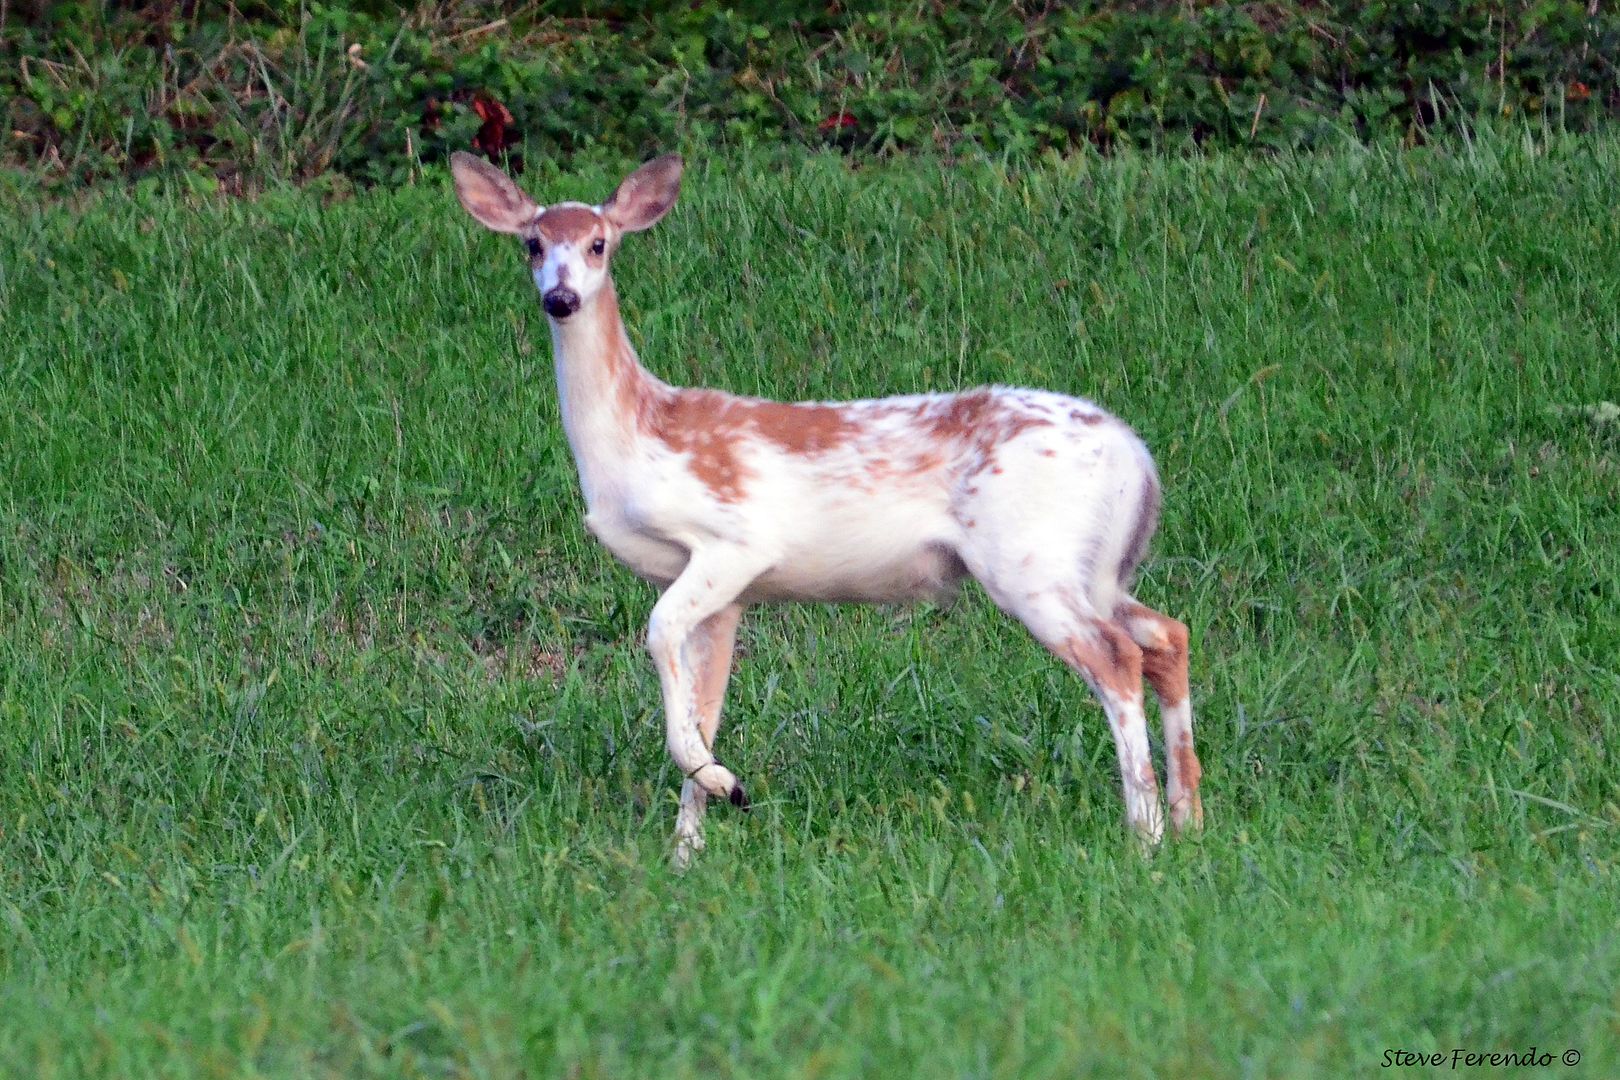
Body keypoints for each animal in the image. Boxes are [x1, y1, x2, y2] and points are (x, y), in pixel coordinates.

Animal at [449, 151, 1205, 868]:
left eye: (599, 242)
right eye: (533, 242)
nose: (561, 298)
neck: (637, 436)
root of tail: (1136, 456)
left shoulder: (734, 541)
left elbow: (659, 634)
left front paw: (722, 785)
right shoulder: (728, 597)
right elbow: (706, 705)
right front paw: (689, 847)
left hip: (1027, 557)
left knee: (1116, 657)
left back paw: (1145, 834)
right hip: (1092, 566)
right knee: (1165, 633)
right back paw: (1188, 818)